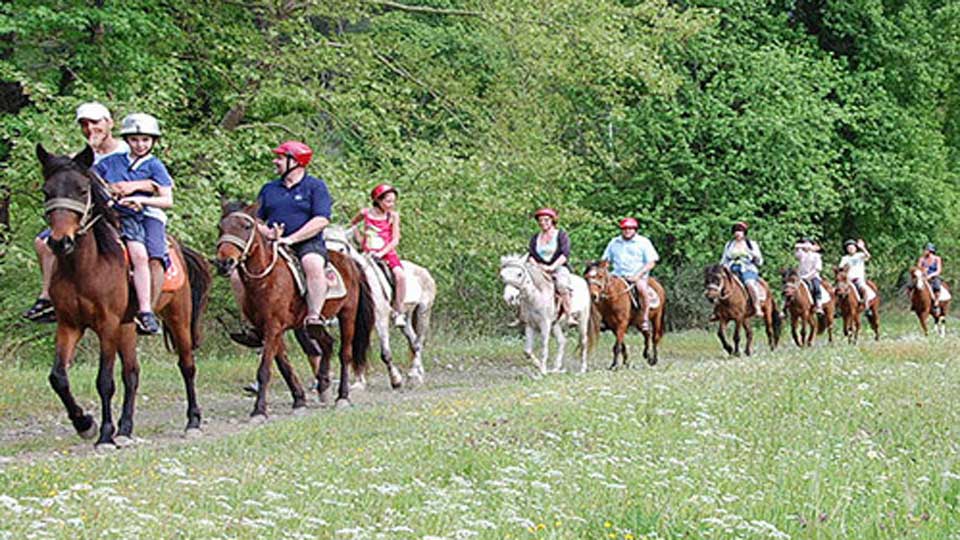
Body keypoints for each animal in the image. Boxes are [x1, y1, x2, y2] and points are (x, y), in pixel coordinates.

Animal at [37, 144, 211, 447]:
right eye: (47, 191)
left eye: (82, 190)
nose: (60, 242)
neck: (85, 267)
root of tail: (177, 246)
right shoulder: (69, 325)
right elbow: (58, 377)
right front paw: (85, 424)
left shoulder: (107, 325)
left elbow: (104, 381)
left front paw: (105, 434)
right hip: (128, 326)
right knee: (132, 374)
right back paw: (126, 428)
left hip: (178, 317)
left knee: (187, 366)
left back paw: (193, 421)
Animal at [214, 202, 375, 417]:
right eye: (220, 227)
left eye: (246, 227)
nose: (224, 263)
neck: (266, 280)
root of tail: (350, 262)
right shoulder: (268, 330)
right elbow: (283, 365)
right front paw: (299, 399)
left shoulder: (273, 327)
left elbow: (264, 370)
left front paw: (259, 410)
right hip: (309, 326)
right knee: (327, 343)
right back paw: (323, 385)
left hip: (347, 315)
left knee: (344, 354)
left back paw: (342, 396)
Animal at [324, 225, 437, 387]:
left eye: (341, 249)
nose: (331, 274)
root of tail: (425, 271)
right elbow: (357, 347)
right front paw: (358, 381)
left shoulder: (380, 318)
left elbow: (384, 353)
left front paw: (395, 379)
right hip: (406, 317)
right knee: (413, 340)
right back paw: (417, 373)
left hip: (423, 312)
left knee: (418, 342)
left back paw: (413, 374)